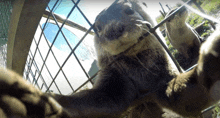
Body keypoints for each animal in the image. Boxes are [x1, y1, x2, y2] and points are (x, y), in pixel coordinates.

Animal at [0, 0, 220, 117]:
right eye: (98, 27)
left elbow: (181, 93)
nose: (113, 29)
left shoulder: (164, 77)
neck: (142, 77)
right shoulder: (113, 82)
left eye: (129, 10)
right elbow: (95, 102)